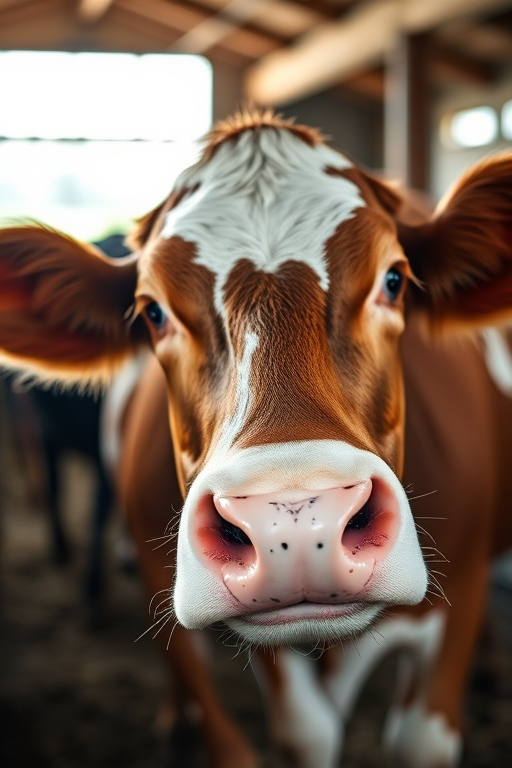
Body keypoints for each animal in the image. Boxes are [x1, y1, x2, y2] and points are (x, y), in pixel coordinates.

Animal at [1, 109, 512, 767]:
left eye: (395, 279)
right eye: (152, 312)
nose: (292, 519)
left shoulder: (462, 592)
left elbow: (420, 740)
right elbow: (303, 731)